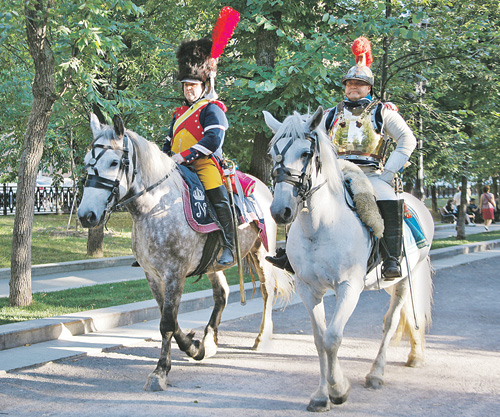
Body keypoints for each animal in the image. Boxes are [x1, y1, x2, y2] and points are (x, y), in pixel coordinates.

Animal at [77, 114, 292, 390]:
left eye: (115, 162)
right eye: (87, 162)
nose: (86, 215)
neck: (155, 205)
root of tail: (265, 188)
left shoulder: (174, 273)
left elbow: (167, 322)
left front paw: (160, 371)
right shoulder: (153, 274)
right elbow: (169, 318)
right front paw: (194, 347)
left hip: (262, 253)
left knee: (267, 292)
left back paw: (262, 338)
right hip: (213, 263)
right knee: (222, 294)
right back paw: (210, 341)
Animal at [262, 107, 434, 410]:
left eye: (306, 153)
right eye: (273, 153)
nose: (280, 211)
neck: (320, 227)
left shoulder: (349, 286)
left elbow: (333, 337)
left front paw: (338, 389)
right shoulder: (309, 289)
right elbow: (320, 338)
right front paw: (321, 395)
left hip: (405, 278)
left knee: (392, 321)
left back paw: (377, 374)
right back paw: (415, 356)